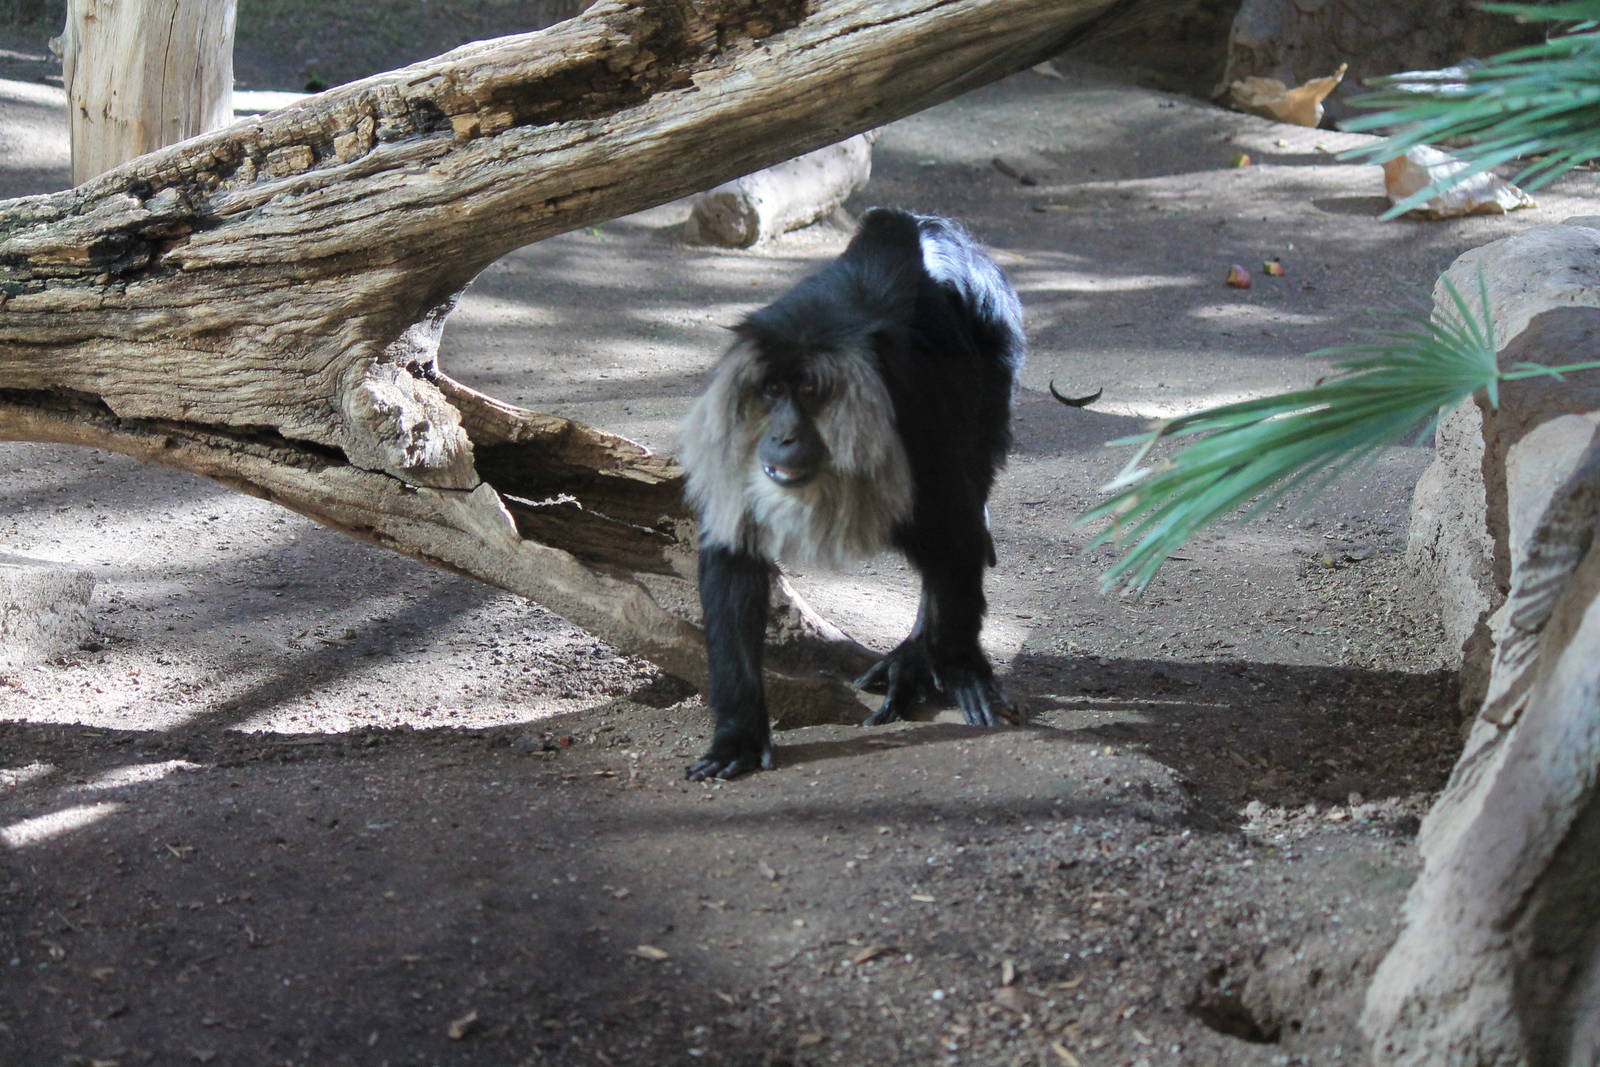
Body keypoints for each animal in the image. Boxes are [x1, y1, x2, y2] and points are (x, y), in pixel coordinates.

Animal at [678, 207, 1028, 781]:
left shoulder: (914, 416)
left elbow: (954, 538)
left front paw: (958, 665)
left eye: (809, 393)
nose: (783, 436)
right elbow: (732, 555)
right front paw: (738, 736)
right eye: (772, 391)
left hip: (992, 340)